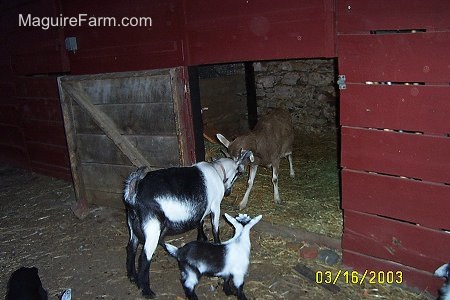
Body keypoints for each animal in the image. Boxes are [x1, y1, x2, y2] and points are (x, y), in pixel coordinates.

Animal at [123, 151, 253, 298]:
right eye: (237, 174)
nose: (228, 192)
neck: (216, 170)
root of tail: (133, 192)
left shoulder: (203, 207)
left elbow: (200, 221)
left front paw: (202, 238)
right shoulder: (215, 206)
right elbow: (215, 228)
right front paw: (217, 244)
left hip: (132, 224)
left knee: (131, 248)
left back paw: (132, 277)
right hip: (152, 228)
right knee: (144, 258)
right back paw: (147, 291)